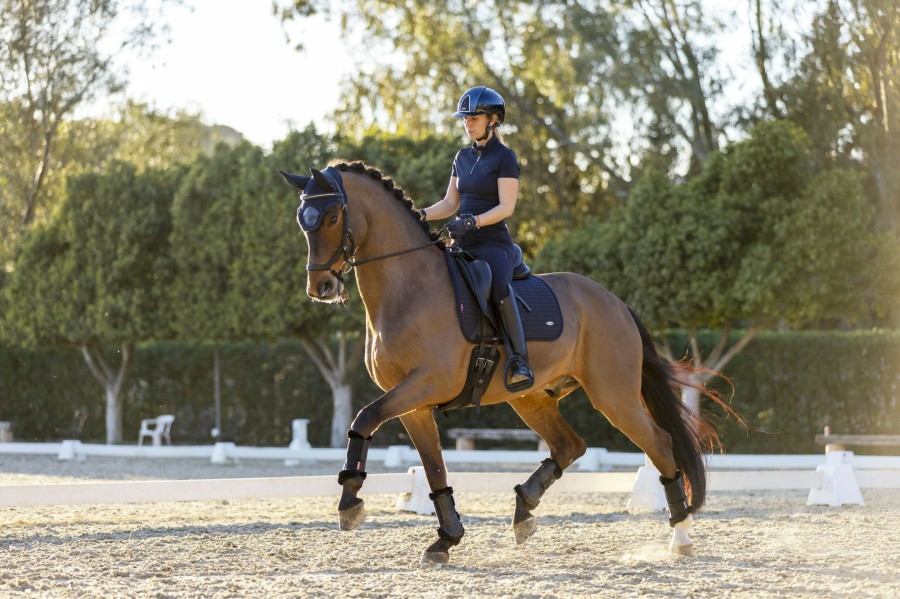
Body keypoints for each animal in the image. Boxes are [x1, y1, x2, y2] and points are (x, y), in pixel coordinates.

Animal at [282, 159, 732, 564]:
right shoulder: (413, 404)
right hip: (531, 399)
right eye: (303, 222)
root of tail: (615, 302)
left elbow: (363, 418)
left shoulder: (427, 384)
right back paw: (523, 510)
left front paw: (350, 502)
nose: (321, 287)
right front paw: (445, 539)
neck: (408, 289)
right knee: (569, 445)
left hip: (614, 396)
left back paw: (680, 537)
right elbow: (434, 469)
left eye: (333, 216)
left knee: (661, 445)